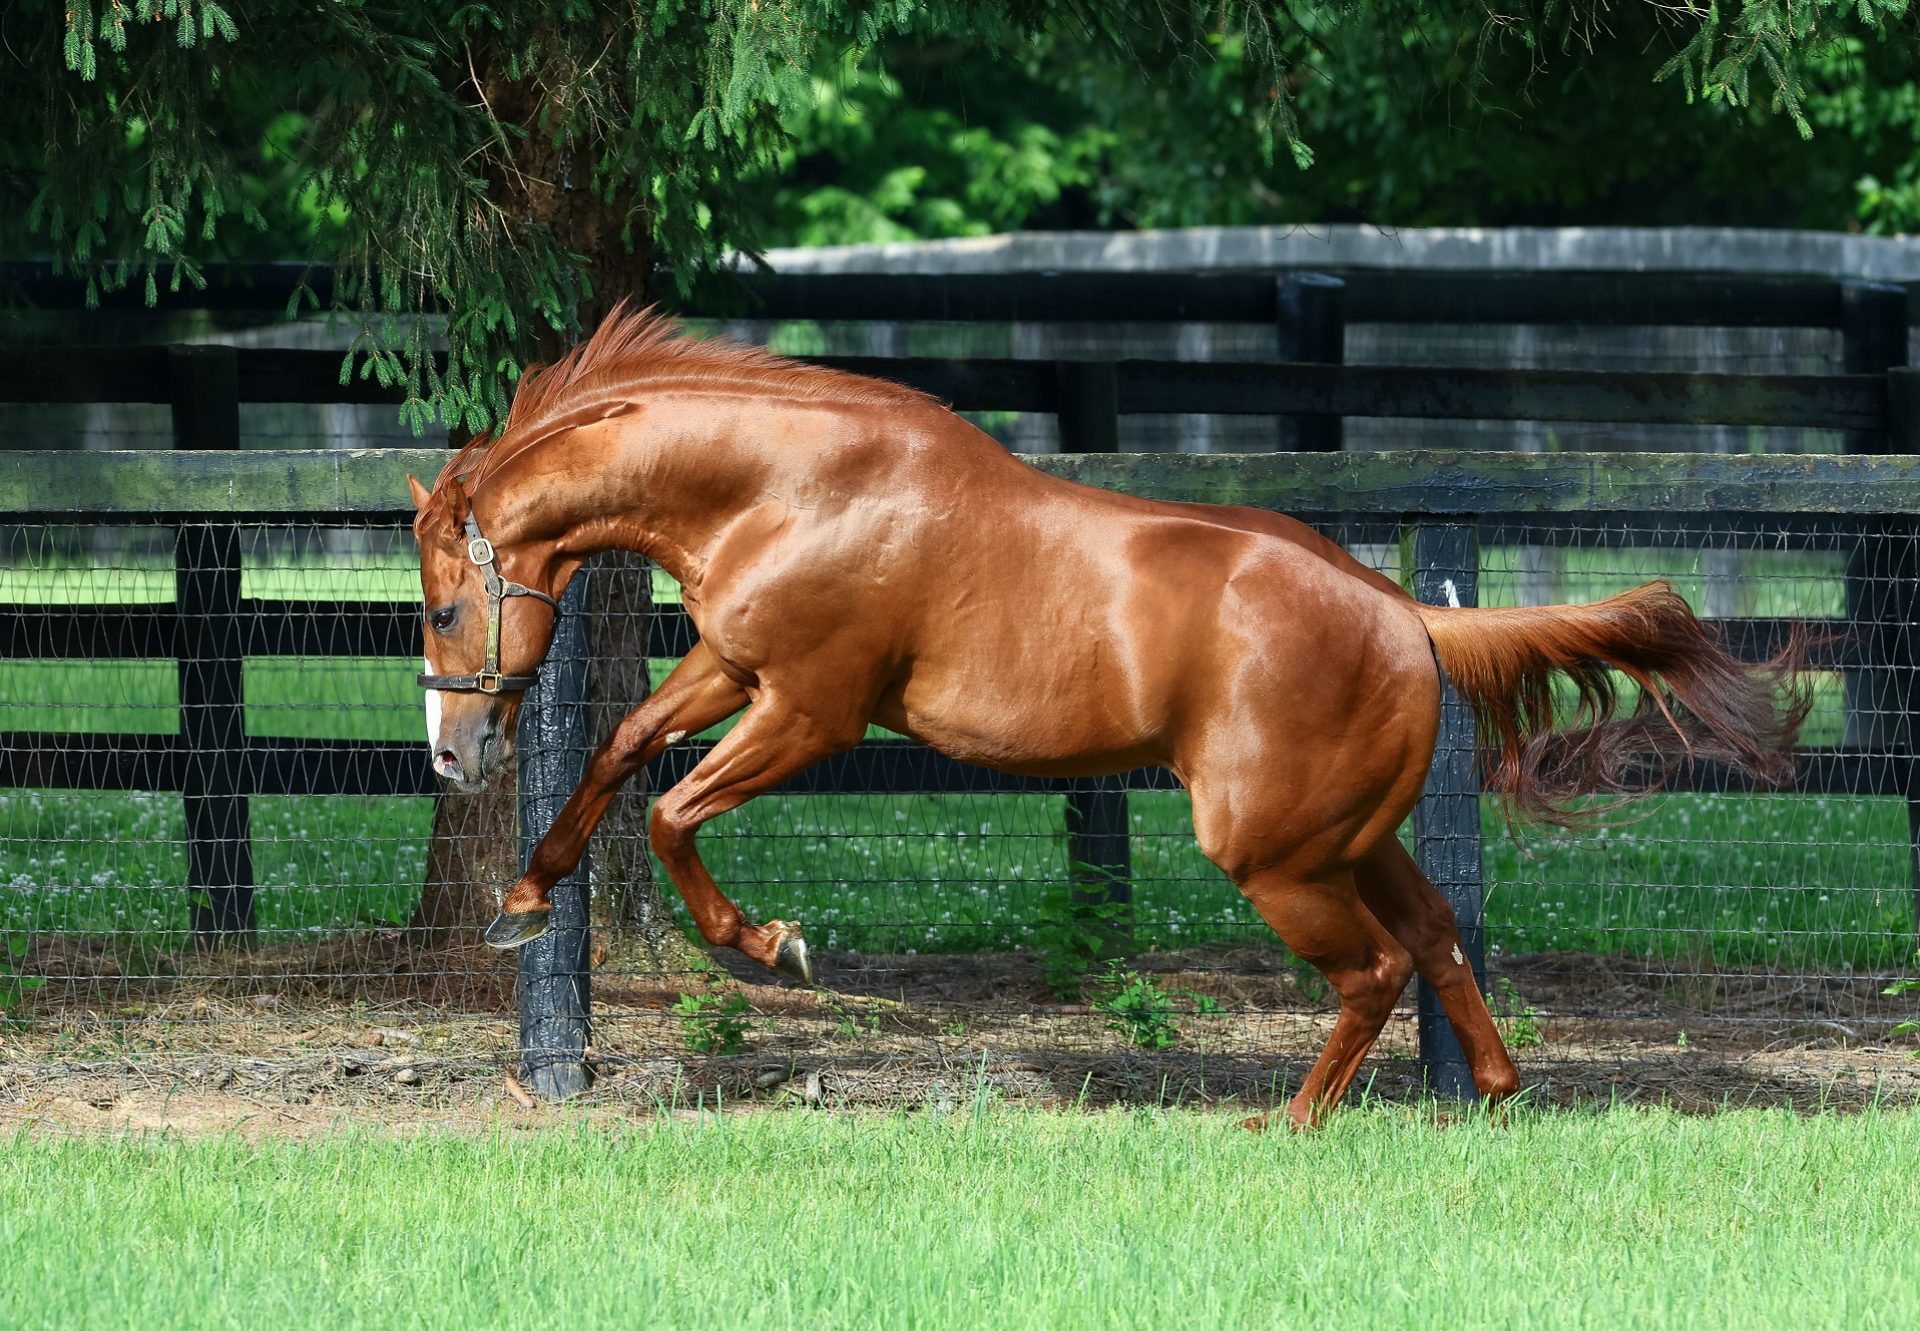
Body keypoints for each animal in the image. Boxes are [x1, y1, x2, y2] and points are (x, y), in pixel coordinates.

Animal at [412, 305, 1804, 1129]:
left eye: (438, 605)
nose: (453, 750)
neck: (790, 486)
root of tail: (1408, 616)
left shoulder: (812, 709)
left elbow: (672, 810)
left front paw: (771, 945)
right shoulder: (729, 668)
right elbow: (620, 752)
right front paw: (523, 899)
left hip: (1271, 851)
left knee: (1375, 966)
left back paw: (1289, 1122)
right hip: (1348, 839)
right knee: (1437, 940)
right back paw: (1494, 1092)